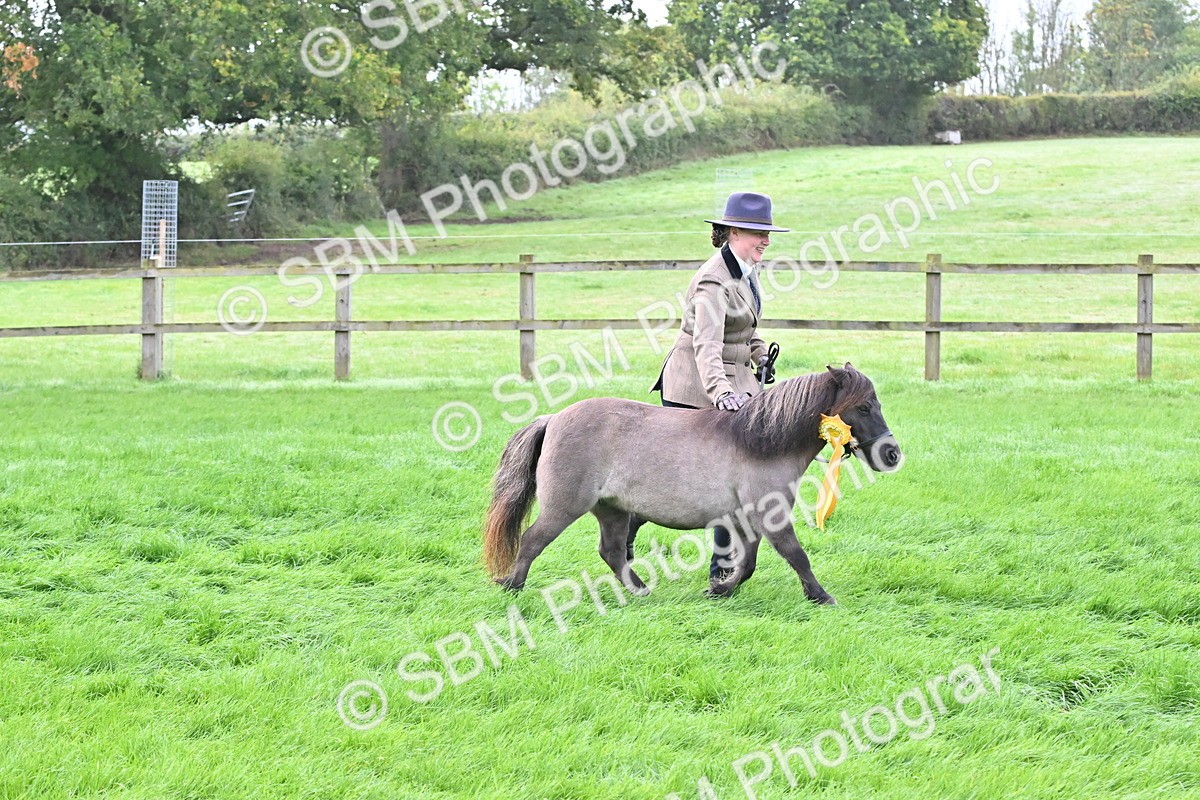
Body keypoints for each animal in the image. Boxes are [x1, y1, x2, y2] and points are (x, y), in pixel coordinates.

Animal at [482, 363, 901, 604]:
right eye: (864, 406)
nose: (892, 455)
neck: (761, 442)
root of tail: (553, 419)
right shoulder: (771, 514)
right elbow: (795, 554)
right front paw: (821, 596)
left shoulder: (748, 519)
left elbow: (747, 562)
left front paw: (720, 589)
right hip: (565, 507)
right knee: (532, 540)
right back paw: (513, 587)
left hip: (612, 510)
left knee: (612, 552)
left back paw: (639, 590)